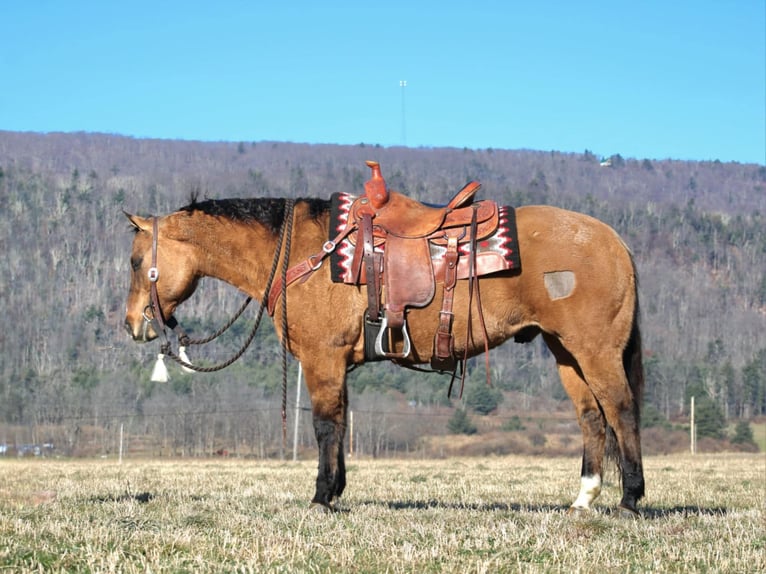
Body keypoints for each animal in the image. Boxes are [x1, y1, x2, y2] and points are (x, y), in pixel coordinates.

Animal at [123, 165, 644, 516]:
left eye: (133, 261)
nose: (132, 324)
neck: (300, 252)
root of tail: (615, 241)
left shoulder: (322, 358)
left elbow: (325, 425)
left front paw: (321, 497)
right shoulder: (338, 364)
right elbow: (340, 424)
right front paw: (336, 491)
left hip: (595, 349)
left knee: (621, 409)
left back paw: (631, 499)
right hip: (565, 352)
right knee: (592, 417)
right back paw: (584, 498)